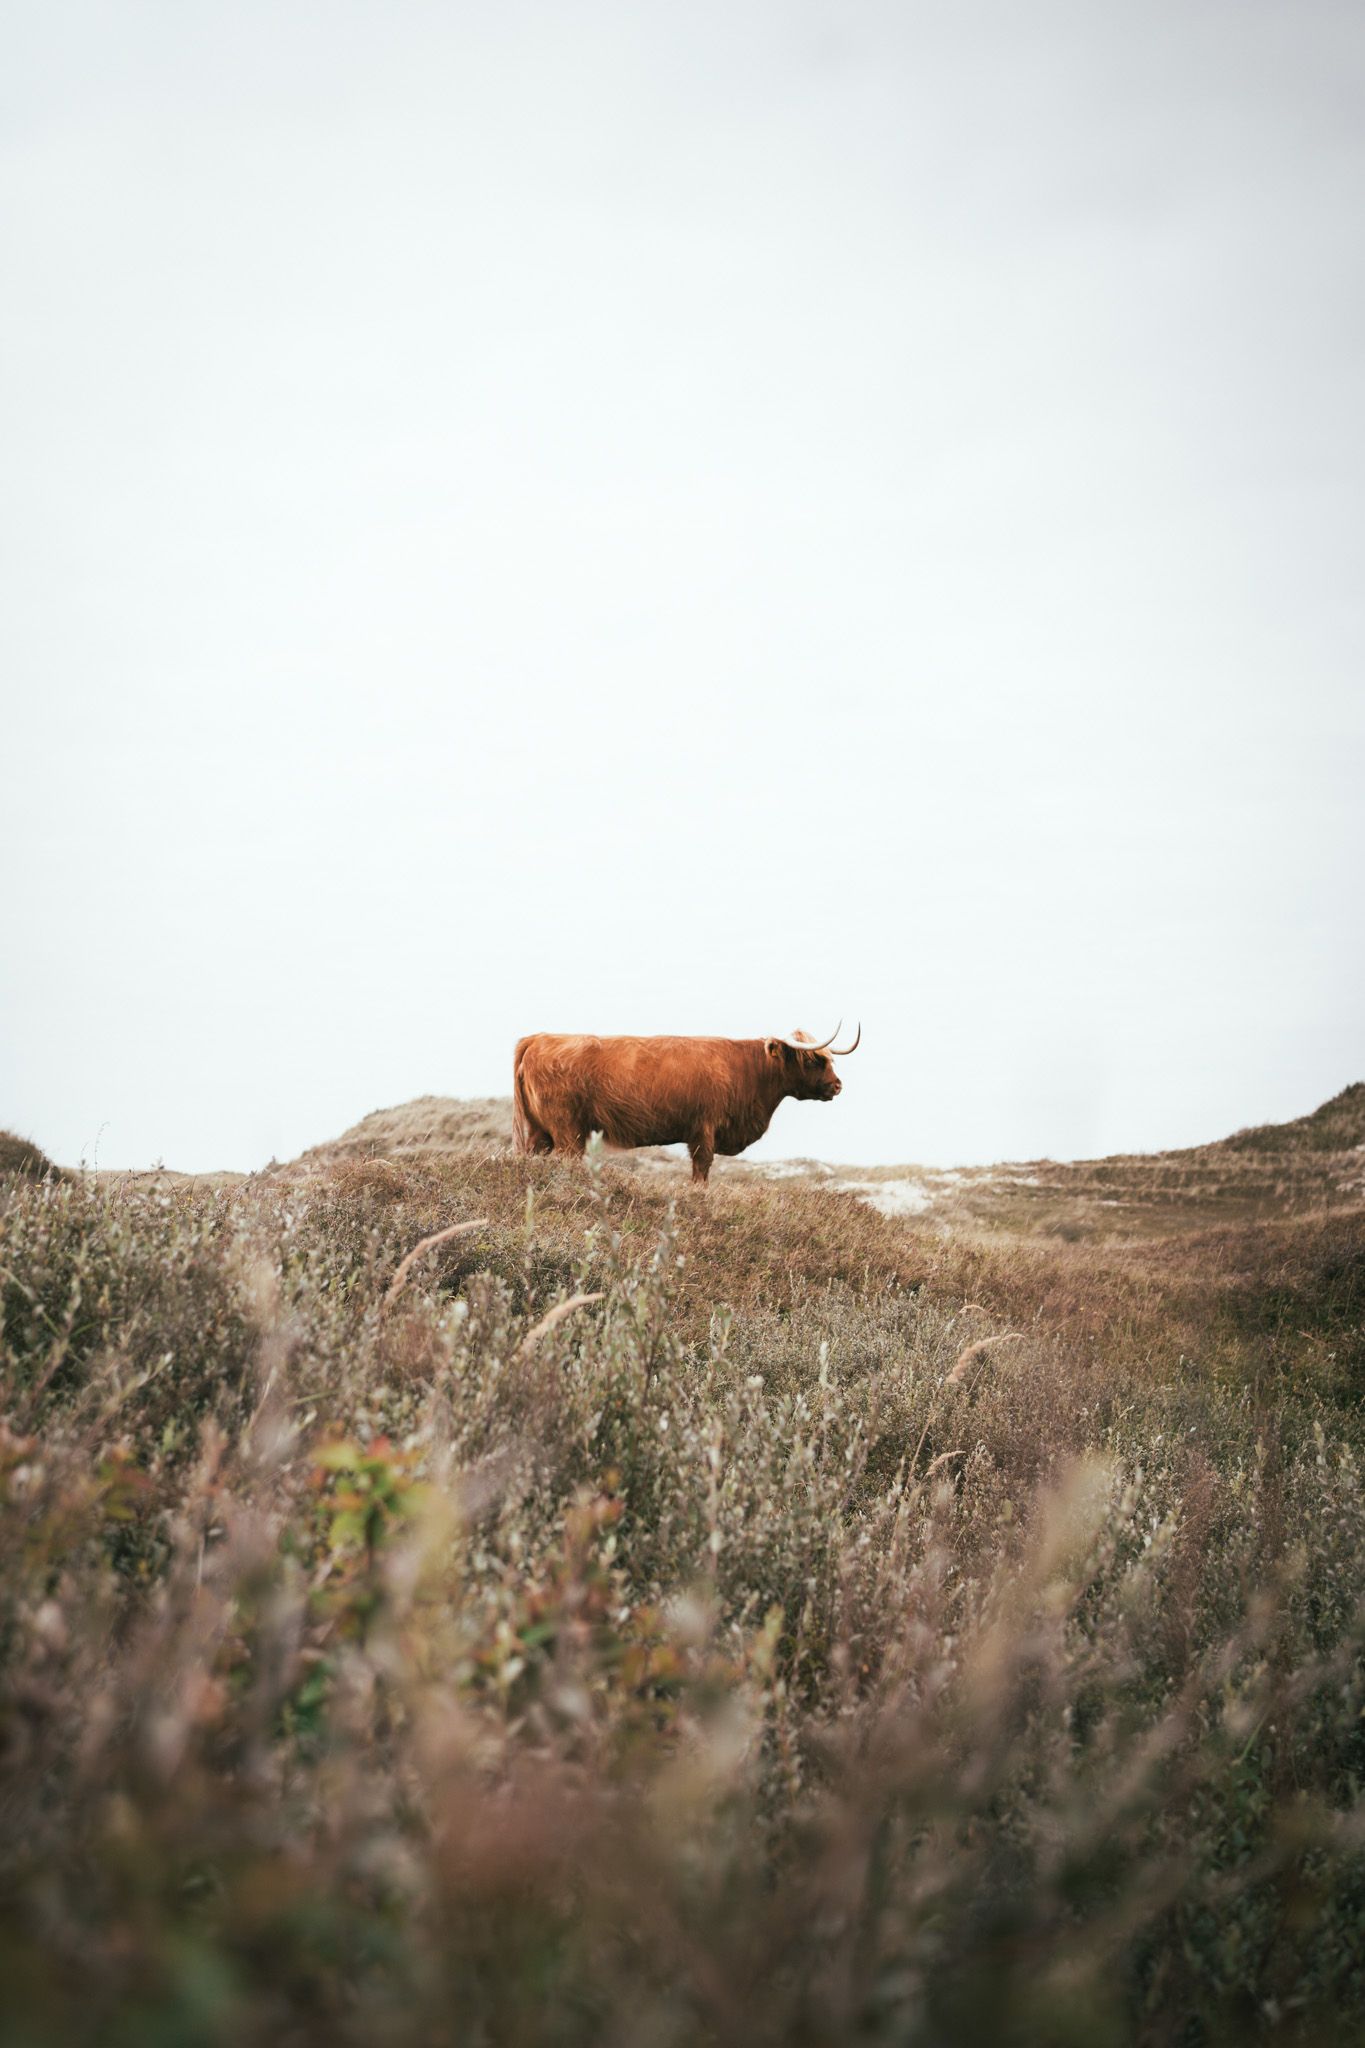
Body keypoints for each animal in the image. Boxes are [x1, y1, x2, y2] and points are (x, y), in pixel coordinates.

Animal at [512, 1024, 861, 1184]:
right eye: (813, 1060)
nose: (837, 1085)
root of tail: (540, 1037)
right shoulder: (704, 1128)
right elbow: (701, 1168)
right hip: (567, 1131)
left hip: (540, 1131)